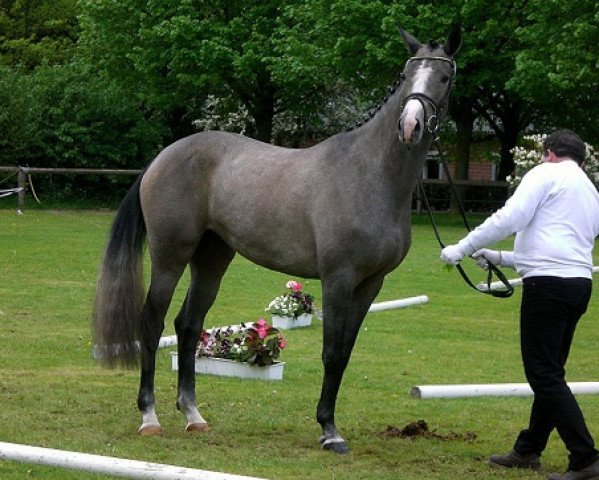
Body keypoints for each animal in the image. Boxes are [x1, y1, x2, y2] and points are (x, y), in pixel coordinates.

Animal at [92, 25, 464, 454]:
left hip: (212, 259)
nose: (409, 126)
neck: (370, 175)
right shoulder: (338, 279)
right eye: (406, 75)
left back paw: (193, 415)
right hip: (171, 255)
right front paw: (329, 431)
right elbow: (332, 352)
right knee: (152, 323)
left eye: (444, 77)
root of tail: (161, 158)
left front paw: (330, 424)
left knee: (188, 324)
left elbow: (345, 353)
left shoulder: (371, 284)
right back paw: (149, 416)